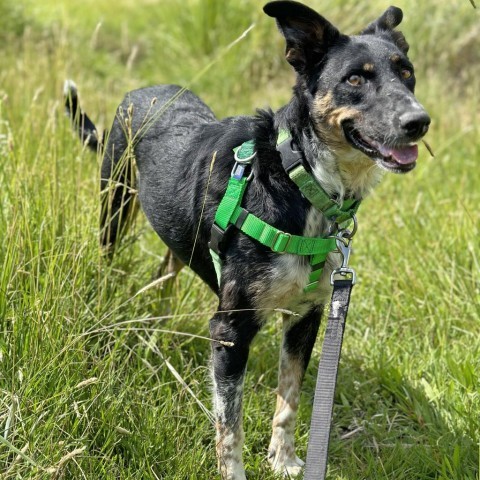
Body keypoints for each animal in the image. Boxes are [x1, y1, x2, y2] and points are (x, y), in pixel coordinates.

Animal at [64, 1, 432, 478]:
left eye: (406, 73)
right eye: (355, 79)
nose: (419, 121)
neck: (302, 179)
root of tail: (143, 90)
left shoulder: (306, 317)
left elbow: (289, 400)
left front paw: (284, 460)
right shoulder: (231, 329)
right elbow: (230, 424)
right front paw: (239, 469)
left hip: (179, 235)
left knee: (165, 270)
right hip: (115, 199)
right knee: (109, 256)